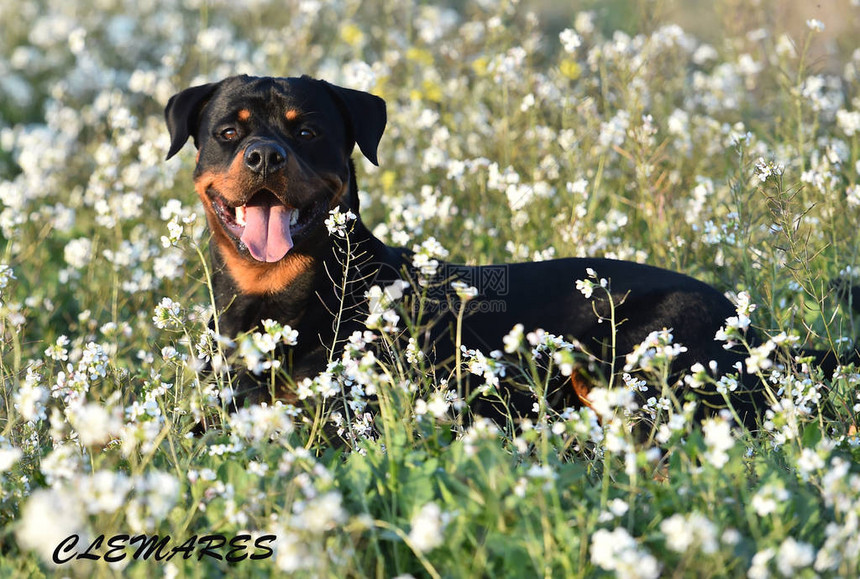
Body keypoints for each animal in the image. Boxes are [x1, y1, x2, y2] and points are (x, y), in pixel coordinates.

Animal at [165, 75, 844, 428]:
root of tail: (756, 330)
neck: (277, 296)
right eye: (228, 132)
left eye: (307, 130)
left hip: (620, 358)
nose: (264, 156)